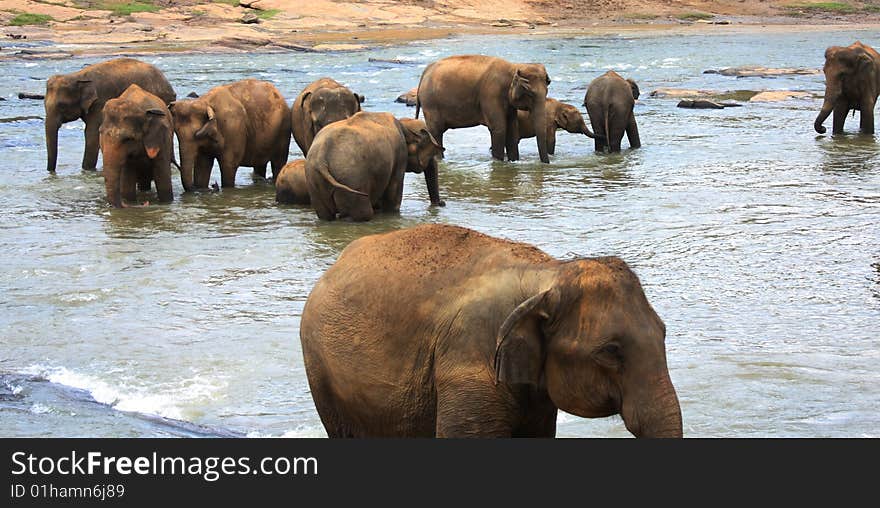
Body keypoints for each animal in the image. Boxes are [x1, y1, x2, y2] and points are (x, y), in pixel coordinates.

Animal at [44, 57, 175, 173]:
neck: (78, 76)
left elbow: (91, 133)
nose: (51, 173)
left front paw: (87, 170)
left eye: (61, 105)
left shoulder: (100, 103)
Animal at [308, 113, 446, 220]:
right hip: (351, 179)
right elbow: (393, 194)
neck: (403, 124)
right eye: (431, 154)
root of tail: (321, 157)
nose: (442, 203)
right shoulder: (400, 155)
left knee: (325, 216)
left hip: (315, 183)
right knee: (361, 214)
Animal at [414, 54, 552, 161]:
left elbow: (512, 130)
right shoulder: (491, 94)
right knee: (436, 132)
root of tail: (424, 73)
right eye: (530, 94)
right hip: (430, 104)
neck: (513, 67)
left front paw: (514, 162)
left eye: (546, 92)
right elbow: (499, 129)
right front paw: (498, 164)